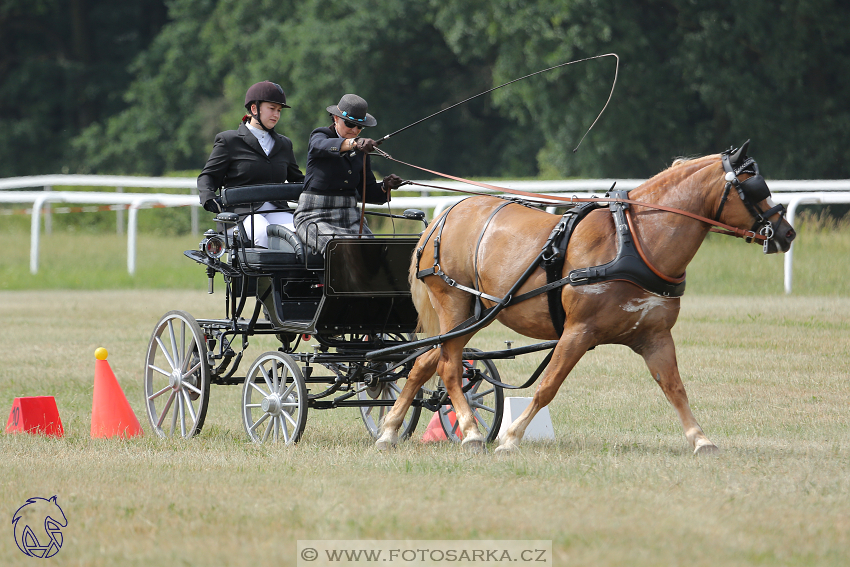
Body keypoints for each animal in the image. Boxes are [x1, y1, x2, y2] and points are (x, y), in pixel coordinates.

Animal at [376, 143, 796, 458]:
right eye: (753, 187)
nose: (787, 233)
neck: (635, 243)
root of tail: (441, 218)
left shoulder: (655, 336)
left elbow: (674, 387)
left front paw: (700, 439)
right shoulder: (578, 331)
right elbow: (548, 385)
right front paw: (510, 438)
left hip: (475, 314)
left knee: (424, 363)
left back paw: (390, 430)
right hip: (454, 304)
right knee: (449, 367)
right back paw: (471, 433)